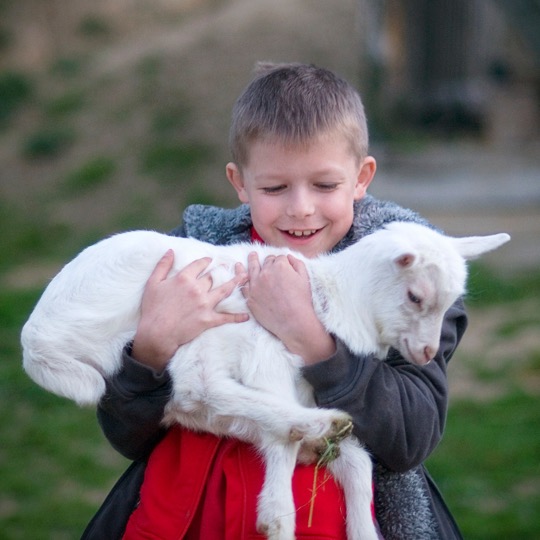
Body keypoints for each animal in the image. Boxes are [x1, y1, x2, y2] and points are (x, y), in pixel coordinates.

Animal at [22, 221, 510, 540]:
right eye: (415, 296)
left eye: (451, 302)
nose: (428, 353)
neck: (335, 298)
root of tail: (35, 340)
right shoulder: (270, 357)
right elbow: (285, 443)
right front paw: (276, 516)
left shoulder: (302, 386)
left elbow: (356, 461)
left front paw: (360, 528)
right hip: (160, 326)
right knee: (199, 388)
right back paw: (318, 428)